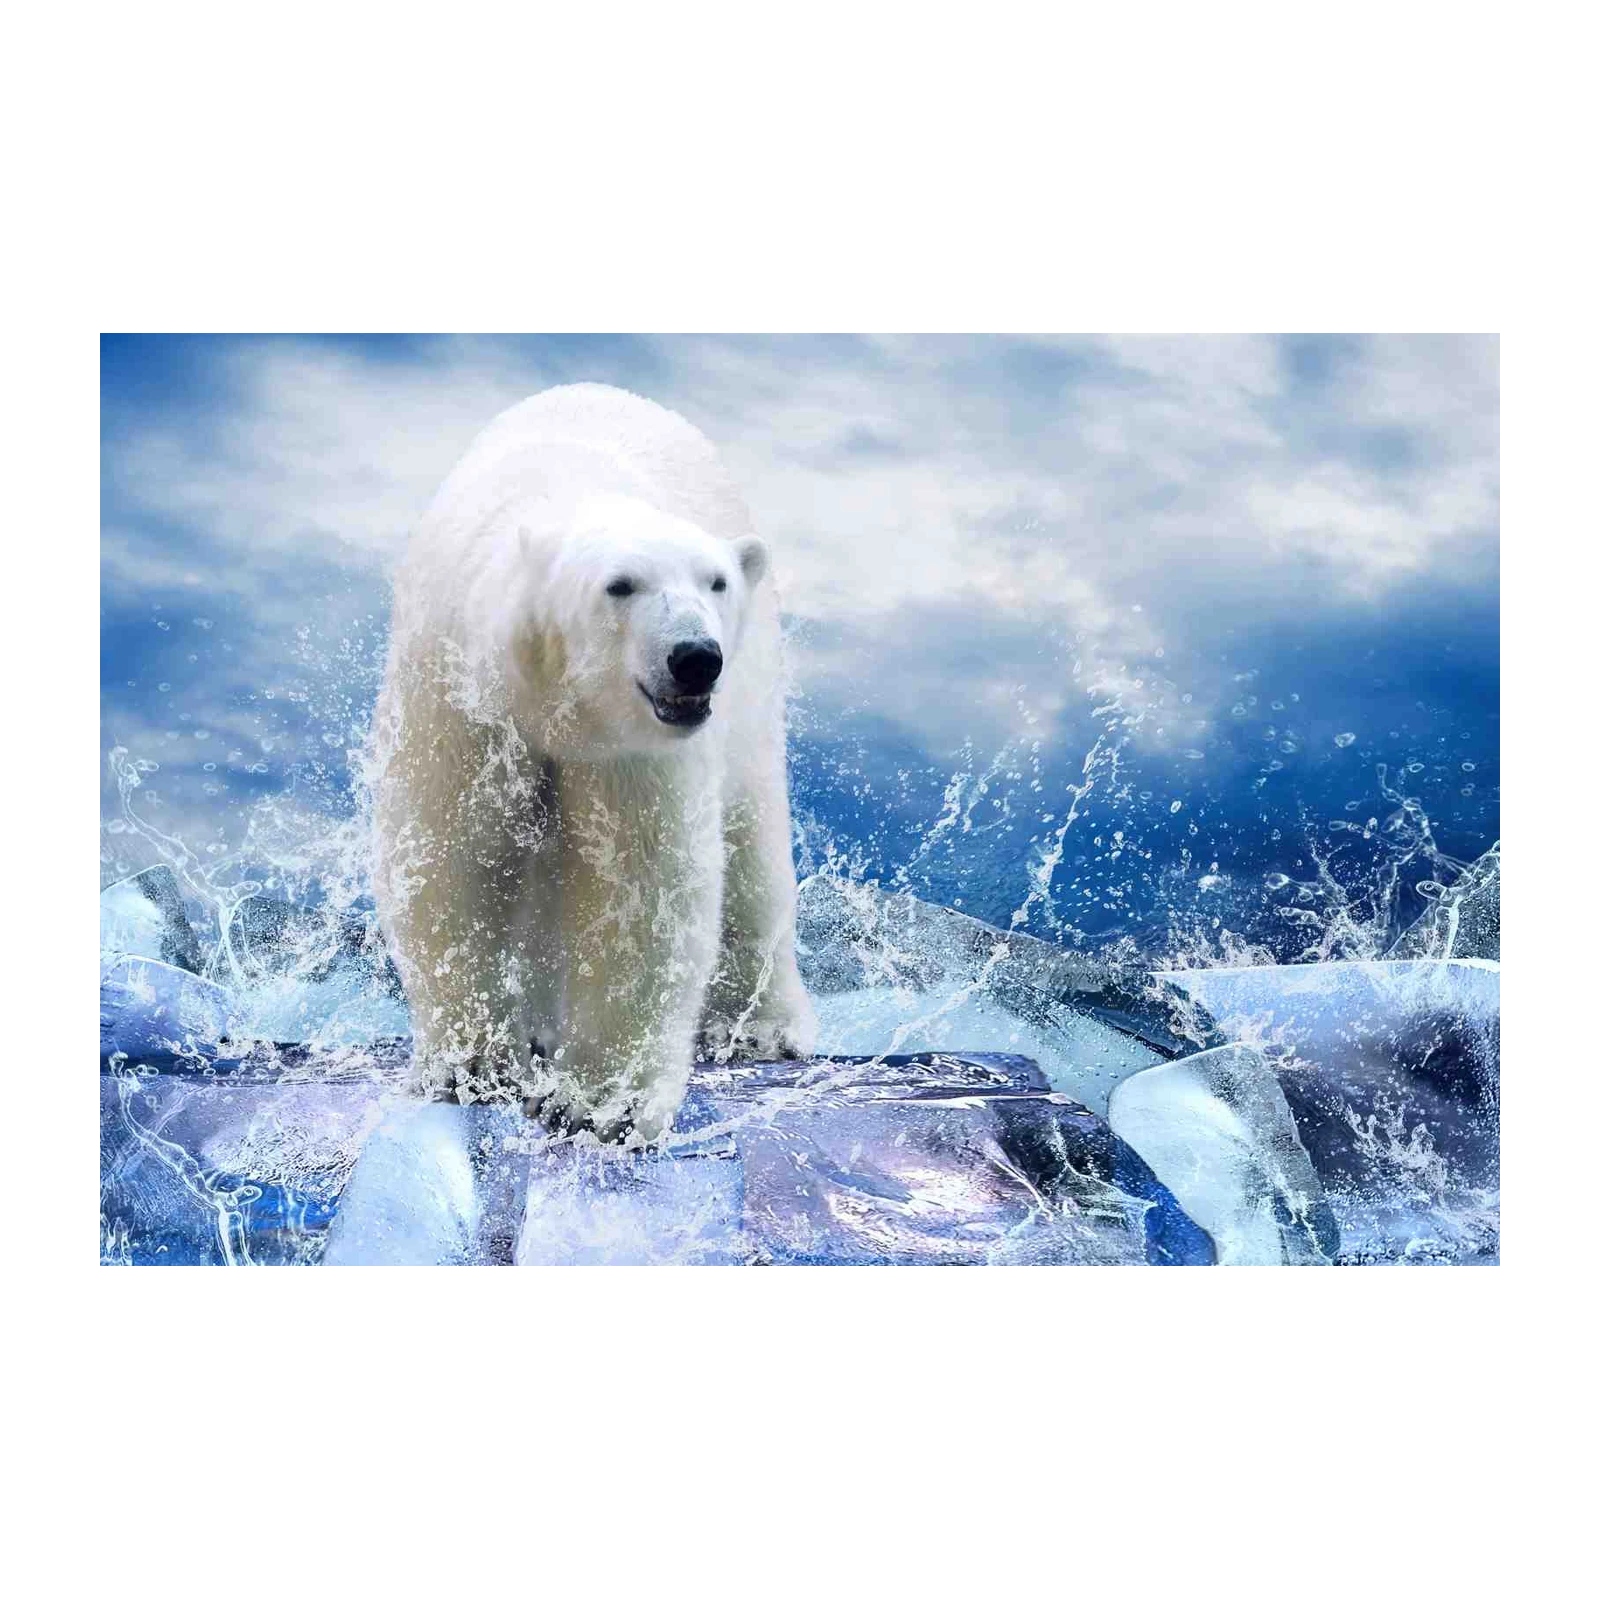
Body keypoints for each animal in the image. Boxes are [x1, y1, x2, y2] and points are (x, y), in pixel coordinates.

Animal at [369, 383, 818, 1144]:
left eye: (716, 581)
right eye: (621, 584)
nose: (694, 657)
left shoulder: (632, 748)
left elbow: (639, 884)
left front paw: (600, 1102)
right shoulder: (459, 692)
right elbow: (450, 853)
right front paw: (474, 1067)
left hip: (753, 705)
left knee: (752, 855)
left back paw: (763, 1027)